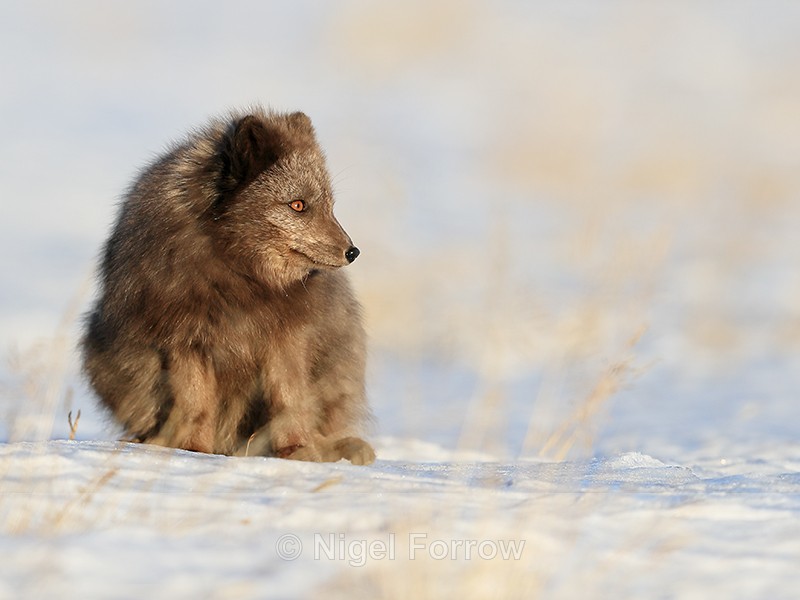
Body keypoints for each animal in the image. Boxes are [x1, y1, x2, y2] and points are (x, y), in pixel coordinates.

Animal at [81, 107, 375, 465]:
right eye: (298, 205)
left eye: (331, 206)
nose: (352, 251)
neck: (241, 279)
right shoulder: (184, 339)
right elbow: (195, 404)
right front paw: (192, 450)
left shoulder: (286, 336)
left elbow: (289, 399)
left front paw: (298, 452)